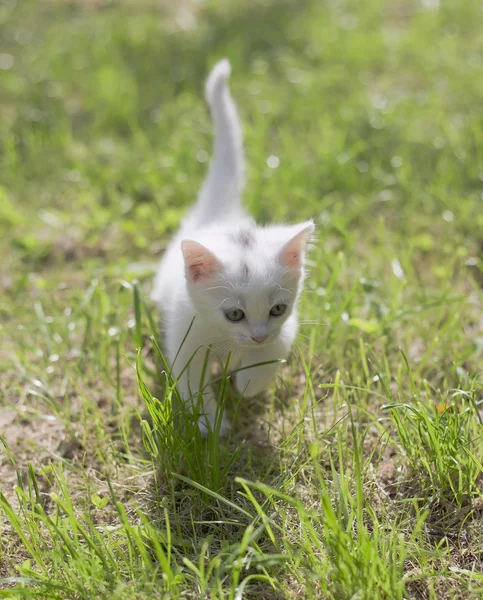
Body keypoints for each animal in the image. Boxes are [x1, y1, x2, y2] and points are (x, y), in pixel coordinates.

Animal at [153, 59, 316, 436]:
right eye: (234, 314)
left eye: (277, 309)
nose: (256, 337)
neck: (224, 340)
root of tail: (219, 215)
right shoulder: (184, 335)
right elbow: (191, 383)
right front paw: (210, 423)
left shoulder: (288, 325)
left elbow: (278, 345)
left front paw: (250, 382)